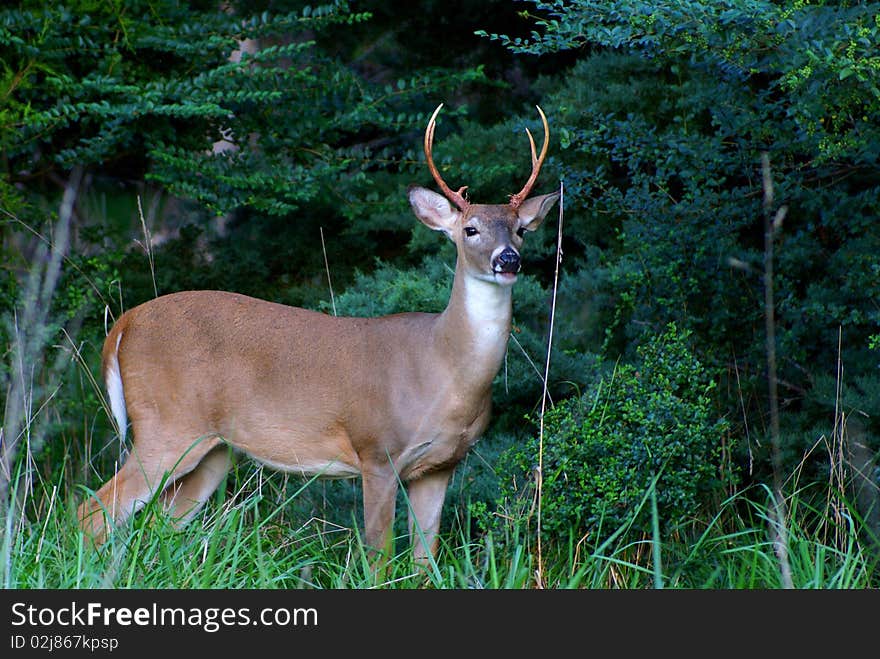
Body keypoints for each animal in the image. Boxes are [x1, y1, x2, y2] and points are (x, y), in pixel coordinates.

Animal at [75, 103, 556, 564]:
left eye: (521, 229)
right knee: (92, 512)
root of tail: (125, 323)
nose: (508, 259)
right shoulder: (377, 451)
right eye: (470, 229)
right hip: (165, 425)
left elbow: (426, 560)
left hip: (214, 450)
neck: (445, 368)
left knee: (161, 523)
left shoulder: (440, 466)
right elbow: (378, 556)